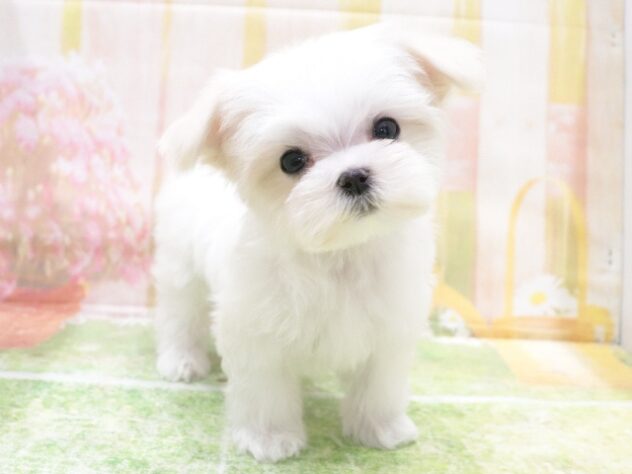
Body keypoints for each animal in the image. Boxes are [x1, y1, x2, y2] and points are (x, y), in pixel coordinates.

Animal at [152, 23, 482, 462]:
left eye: (387, 128)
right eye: (291, 161)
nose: (354, 176)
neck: (341, 254)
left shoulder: (390, 326)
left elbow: (379, 384)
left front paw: (381, 428)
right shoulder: (256, 330)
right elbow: (266, 389)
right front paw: (270, 439)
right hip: (180, 265)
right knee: (180, 312)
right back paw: (182, 360)